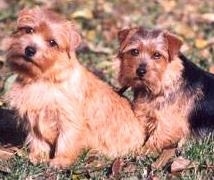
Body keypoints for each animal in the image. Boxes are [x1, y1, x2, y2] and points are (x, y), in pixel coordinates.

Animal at [5, 8, 145, 169]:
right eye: (29, 30)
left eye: (52, 42)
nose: (30, 50)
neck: (43, 78)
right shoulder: (34, 117)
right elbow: (38, 140)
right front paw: (37, 156)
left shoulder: (69, 119)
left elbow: (66, 141)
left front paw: (61, 161)